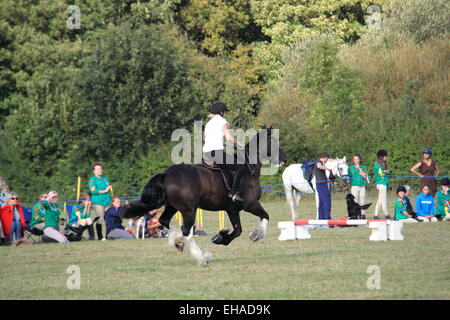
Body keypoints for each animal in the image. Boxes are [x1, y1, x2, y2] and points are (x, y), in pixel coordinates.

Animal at [121, 127, 286, 264]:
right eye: (274, 142)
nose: (284, 159)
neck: (248, 169)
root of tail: (166, 175)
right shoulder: (250, 204)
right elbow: (265, 216)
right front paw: (256, 235)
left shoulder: (232, 210)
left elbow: (237, 230)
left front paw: (220, 237)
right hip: (189, 210)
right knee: (187, 231)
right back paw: (201, 257)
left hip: (173, 206)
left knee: (165, 221)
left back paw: (177, 241)